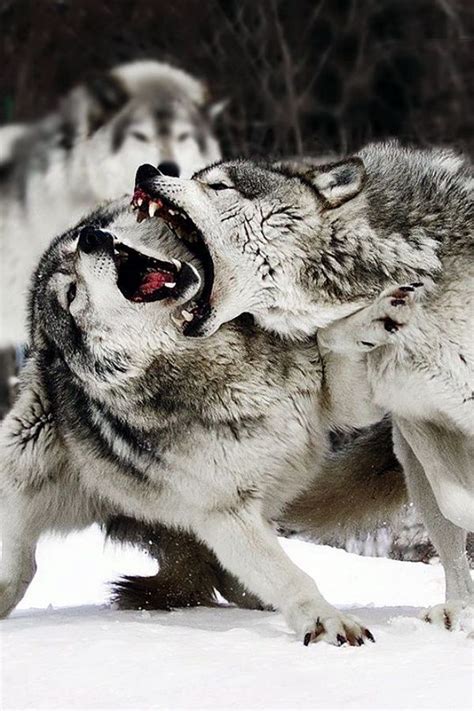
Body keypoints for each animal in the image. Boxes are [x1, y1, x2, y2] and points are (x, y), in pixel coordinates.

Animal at [0, 200, 407, 645]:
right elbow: (289, 578)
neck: (215, 357)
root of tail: (39, 365)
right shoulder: (226, 514)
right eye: (71, 294)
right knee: (24, 570)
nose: (92, 236)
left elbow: (334, 346)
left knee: (229, 582)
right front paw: (326, 621)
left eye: (78, 244)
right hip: (18, 496)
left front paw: (372, 316)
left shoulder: (343, 408)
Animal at [131, 142, 474, 630]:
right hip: (412, 463)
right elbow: (457, 502)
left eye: (218, 185)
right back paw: (458, 611)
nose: (145, 171)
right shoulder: (419, 416)